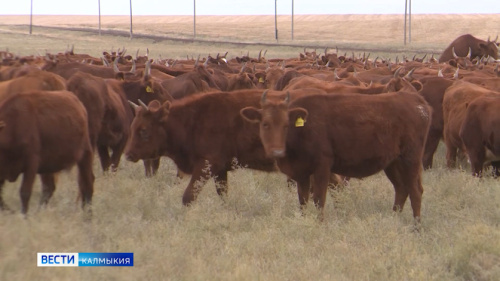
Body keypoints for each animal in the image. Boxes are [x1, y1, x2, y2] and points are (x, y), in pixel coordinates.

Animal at [240, 90, 432, 221]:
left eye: (286, 125)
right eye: (265, 124)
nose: (277, 151)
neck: (303, 128)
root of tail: (417, 101)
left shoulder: (322, 168)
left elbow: (319, 199)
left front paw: (320, 224)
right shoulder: (302, 174)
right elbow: (303, 201)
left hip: (410, 159)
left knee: (415, 191)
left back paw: (416, 227)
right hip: (392, 163)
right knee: (401, 189)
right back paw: (393, 220)